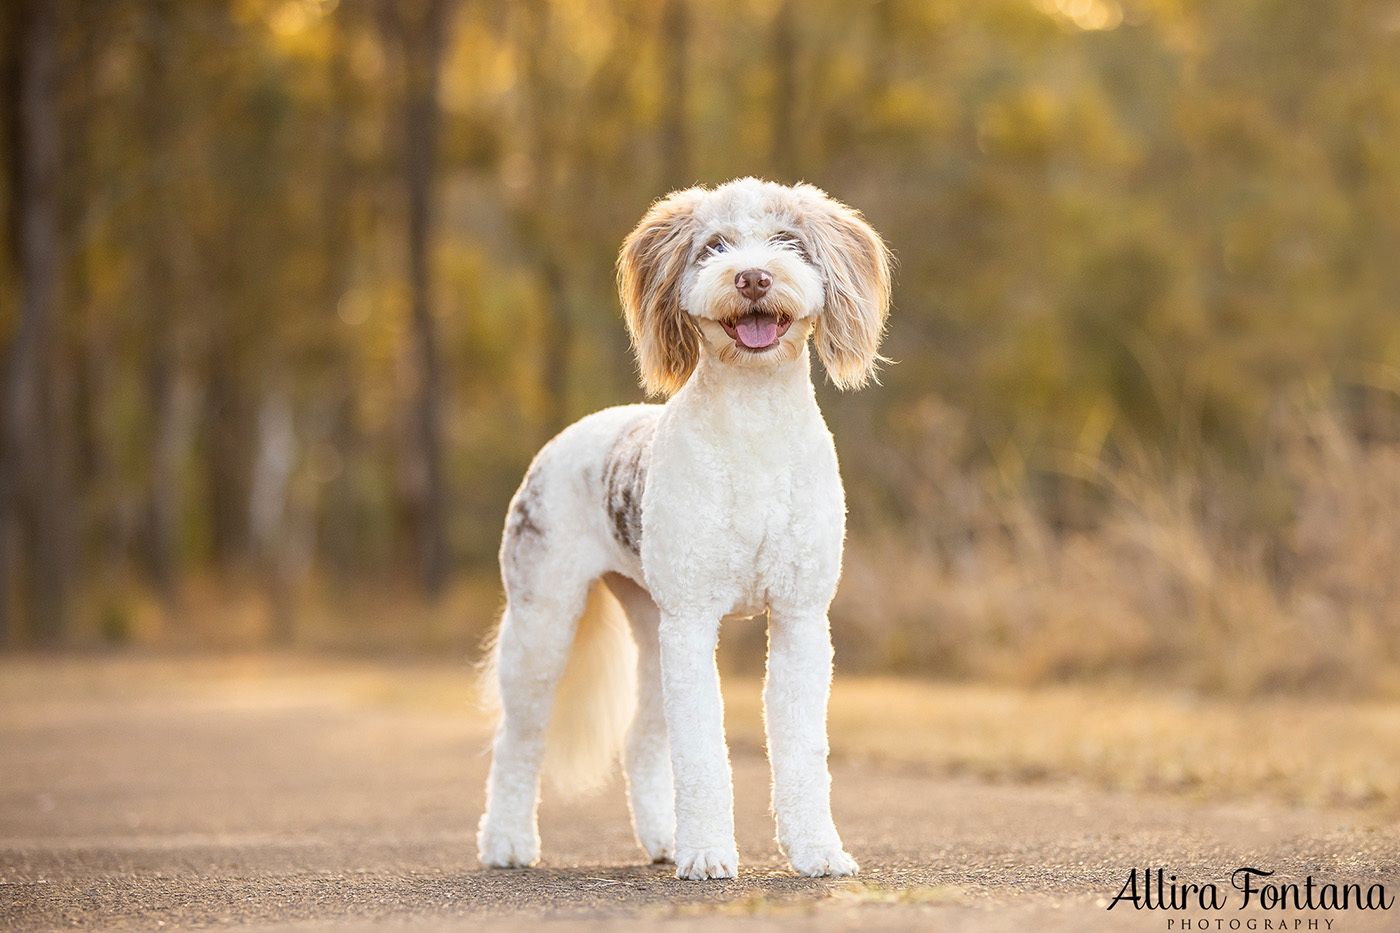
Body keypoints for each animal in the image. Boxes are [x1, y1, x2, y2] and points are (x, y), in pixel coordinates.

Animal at [476, 176, 890, 879]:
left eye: (788, 241)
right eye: (714, 246)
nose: (752, 276)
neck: (754, 430)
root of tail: (567, 437)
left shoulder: (801, 616)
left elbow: (802, 748)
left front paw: (817, 850)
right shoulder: (694, 620)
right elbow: (701, 752)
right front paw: (708, 854)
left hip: (650, 622)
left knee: (642, 736)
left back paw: (663, 837)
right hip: (544, 617)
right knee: (520, 736)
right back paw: (506, 842)